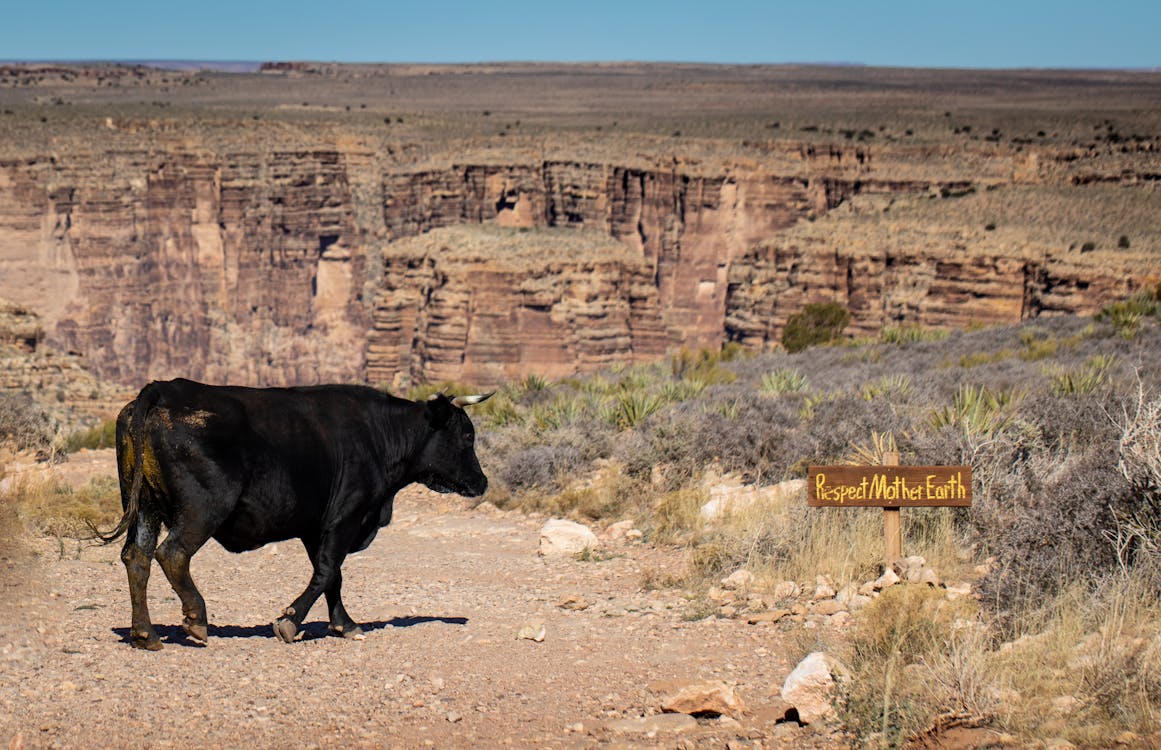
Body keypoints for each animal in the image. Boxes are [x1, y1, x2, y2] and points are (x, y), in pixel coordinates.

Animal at [98, 378, 489, 650]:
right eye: (467, 436)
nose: (481, 482)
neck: (379, 435)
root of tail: (163, 389)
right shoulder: (346, 517)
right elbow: (328, 571)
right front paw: (289, 622)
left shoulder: (314, 528)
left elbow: (332, 577)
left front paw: (345, 624)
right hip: (201, 510)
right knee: (172, 554)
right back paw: (196, 619)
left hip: (145, 507)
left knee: (137, 557)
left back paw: (145, 634)